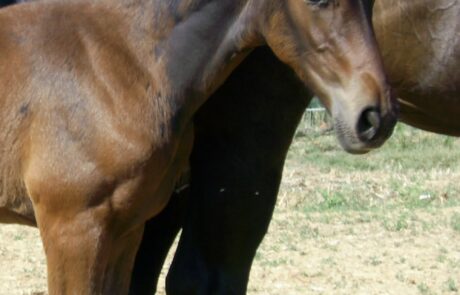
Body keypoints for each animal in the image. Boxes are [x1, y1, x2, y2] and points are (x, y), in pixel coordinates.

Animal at [0, 0, 396, 294]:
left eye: (372, 3)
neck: (120, 60)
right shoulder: (74, 230)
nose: (376, 116)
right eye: (318, 0)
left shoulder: (126, 229)